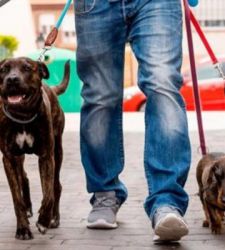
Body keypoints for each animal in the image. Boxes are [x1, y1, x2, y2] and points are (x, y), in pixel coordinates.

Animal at [0, 57, 70, 239]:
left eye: (26, 68)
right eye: (3, 69)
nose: (12, 79)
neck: (22, 116)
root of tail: (51, 88)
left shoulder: (47, 157)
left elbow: (48, 193)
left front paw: (44, 219)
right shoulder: (9, 158)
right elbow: (16, 198)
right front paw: (23, 228)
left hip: (58, 151)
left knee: (56, 186)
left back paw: (54, 218)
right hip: (19, 157)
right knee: (23, 178)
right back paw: (28, 209)